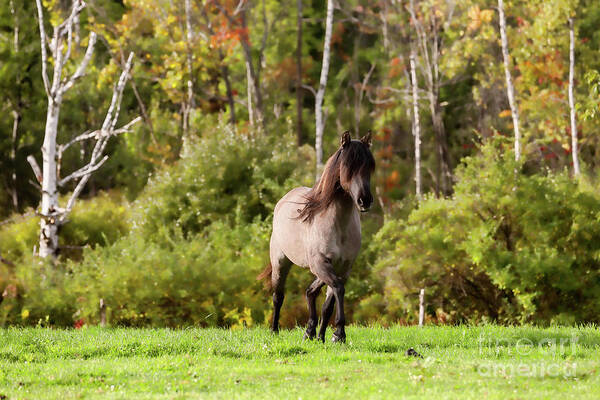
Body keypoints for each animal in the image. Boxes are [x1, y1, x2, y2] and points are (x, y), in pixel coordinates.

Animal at [258, 130, 376, 342]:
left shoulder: (343, 268)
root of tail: (283, 200)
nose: (365, 201)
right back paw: (274, 330)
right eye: (348, 166)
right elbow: (338, 289)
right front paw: (339, 333)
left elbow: (329, 303)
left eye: (369, 166)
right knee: (278, 296)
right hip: (281, 263)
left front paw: (324, 336)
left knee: (311, 291)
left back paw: (311, 332)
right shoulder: (321, 263)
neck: (338, 225)